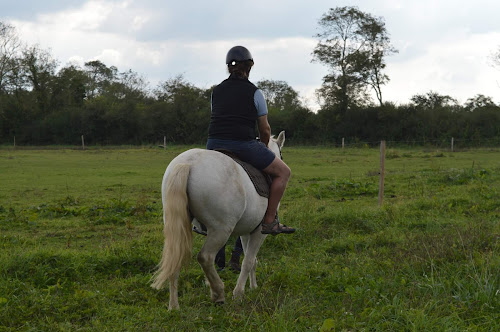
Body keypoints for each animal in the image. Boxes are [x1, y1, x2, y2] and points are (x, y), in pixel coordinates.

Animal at [150, 131, 288, 310]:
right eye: (281, 155)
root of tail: (188, 163)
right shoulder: (260, 232)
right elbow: (249, 261)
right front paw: (239, 293)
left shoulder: (246, 231)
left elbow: (250, 260)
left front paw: (253, 286)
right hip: (220, 230)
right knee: (205, 257)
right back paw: (218, 293)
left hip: (177, 226)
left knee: (175, 257)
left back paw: (174, 306)